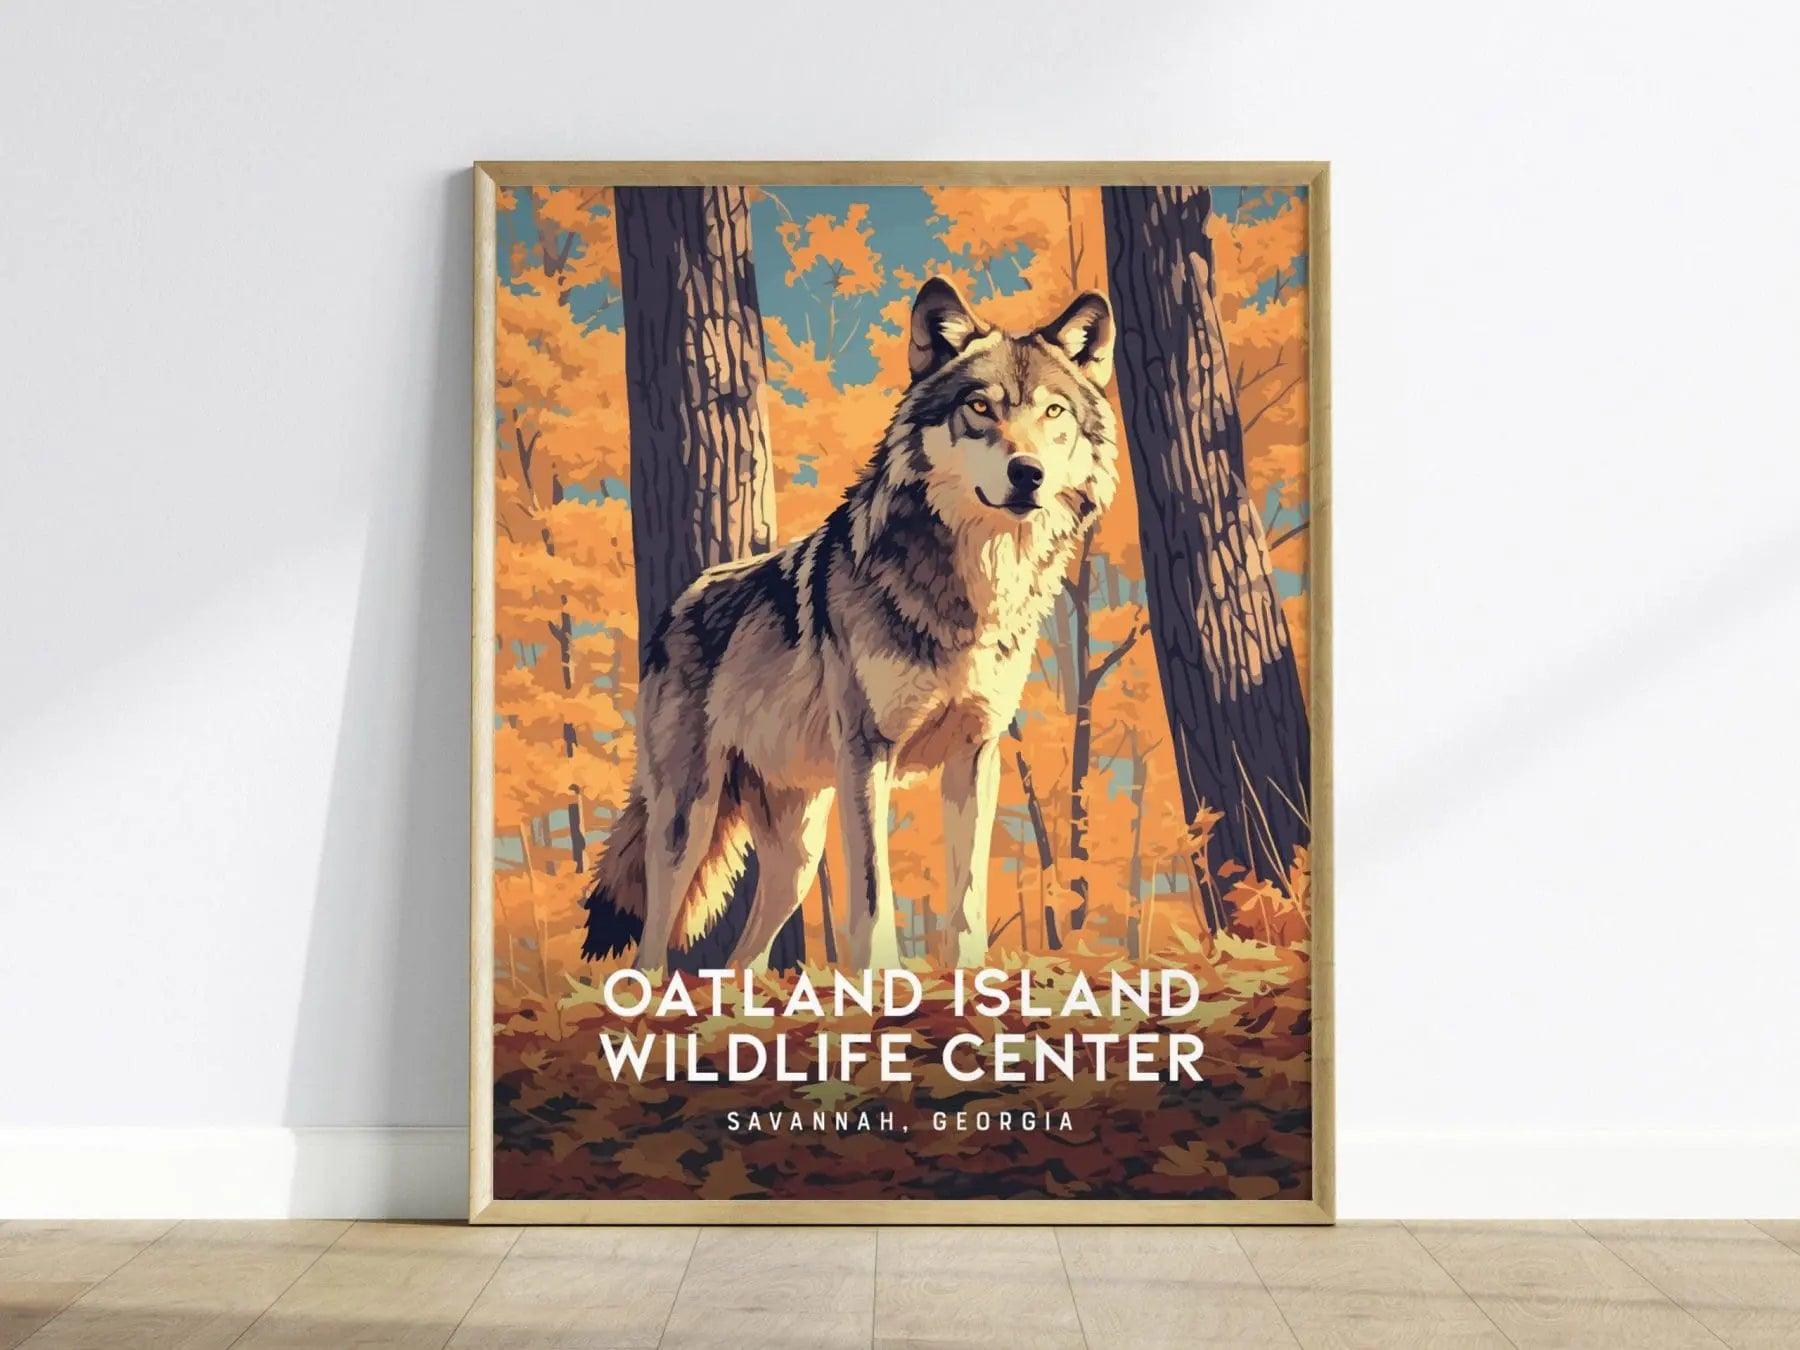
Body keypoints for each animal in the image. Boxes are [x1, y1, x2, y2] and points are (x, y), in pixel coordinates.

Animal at [581, 277, 1118, 971]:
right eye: (979, 406)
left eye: (1053, 413)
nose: (1027, 473)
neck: (973, 591)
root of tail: (677, 605)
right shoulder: (868, 752)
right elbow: (871, 893)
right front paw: (881, 982)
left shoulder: (976, 754)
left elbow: (968, 894)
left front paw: (972, 981)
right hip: (687, 821)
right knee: (650, 945)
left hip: (796, 855)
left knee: (743, 958)